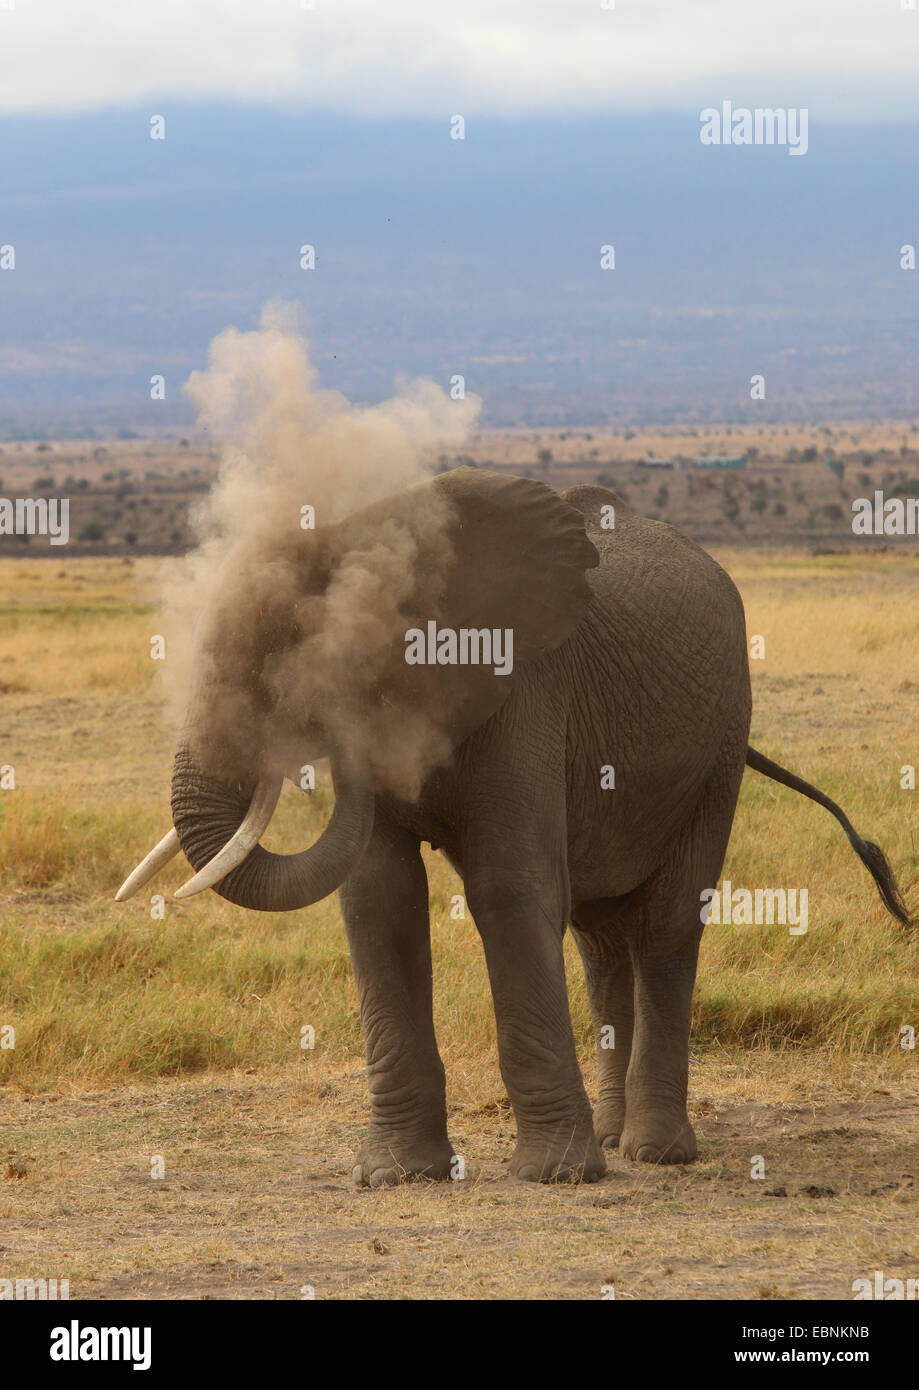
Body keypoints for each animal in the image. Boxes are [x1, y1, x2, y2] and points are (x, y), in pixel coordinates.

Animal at [116, 467, 912, 1184]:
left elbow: (509, 888)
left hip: (719, 745)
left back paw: (653, 1153)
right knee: (599, 940)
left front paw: (556, 1175)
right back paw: (614, 1135)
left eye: (302, 655)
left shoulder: (526, 686)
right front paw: (396, 1176)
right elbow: (379, 897)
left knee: (665, 923)